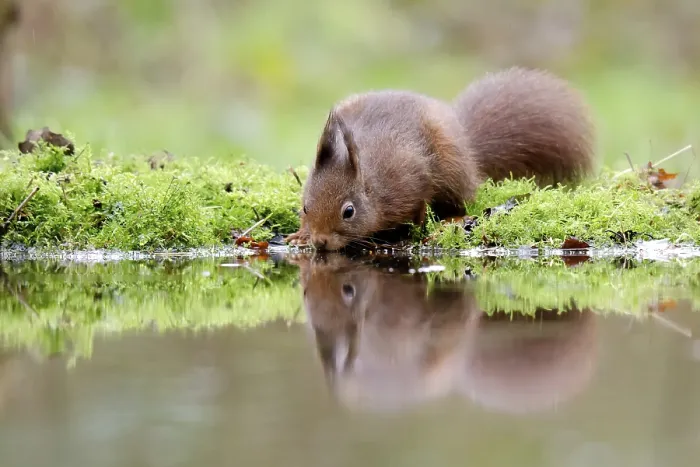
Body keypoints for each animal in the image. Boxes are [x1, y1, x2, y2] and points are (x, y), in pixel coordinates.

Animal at [286, 66, 596, 250]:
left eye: (348, 212)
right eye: (305, 207)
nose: (321, 241)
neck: (372, 184)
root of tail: (465, 141)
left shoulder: (410, 175)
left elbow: (421, 200)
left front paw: (418, 225)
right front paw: (300, 235)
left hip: (452, 169)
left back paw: (452, 218)